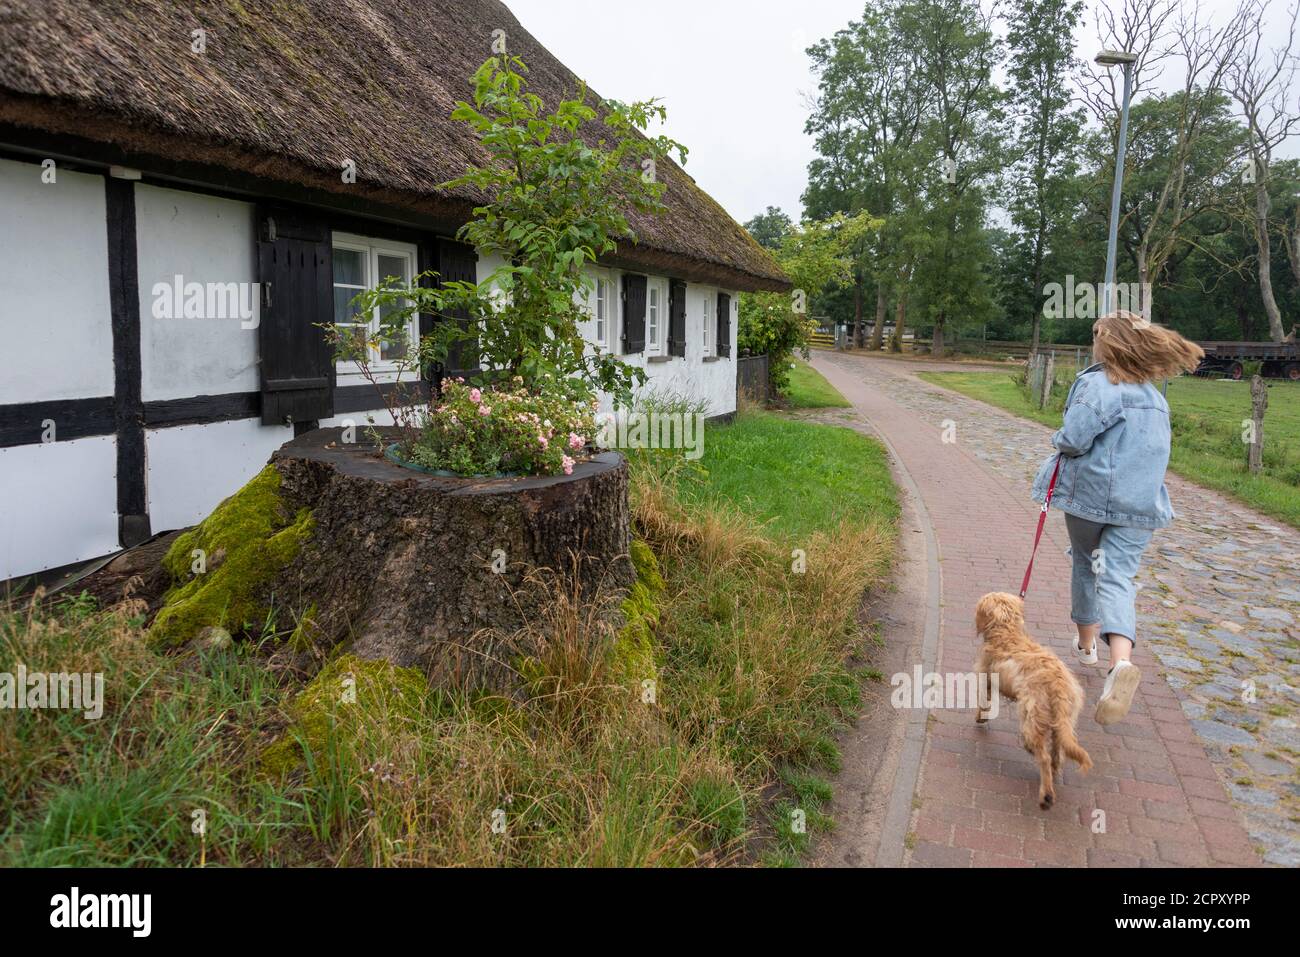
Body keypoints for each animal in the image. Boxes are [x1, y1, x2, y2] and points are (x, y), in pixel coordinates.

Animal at [972, 590, 1092, 806]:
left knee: (1043, 756)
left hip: (1032, 717)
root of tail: (1057, 685)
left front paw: (980, 717)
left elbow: (984, 701)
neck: (1007, 632)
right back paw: (1054, 770)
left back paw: (1046, 794)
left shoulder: (986, 675)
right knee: (1057, 752)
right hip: (1063, 722)